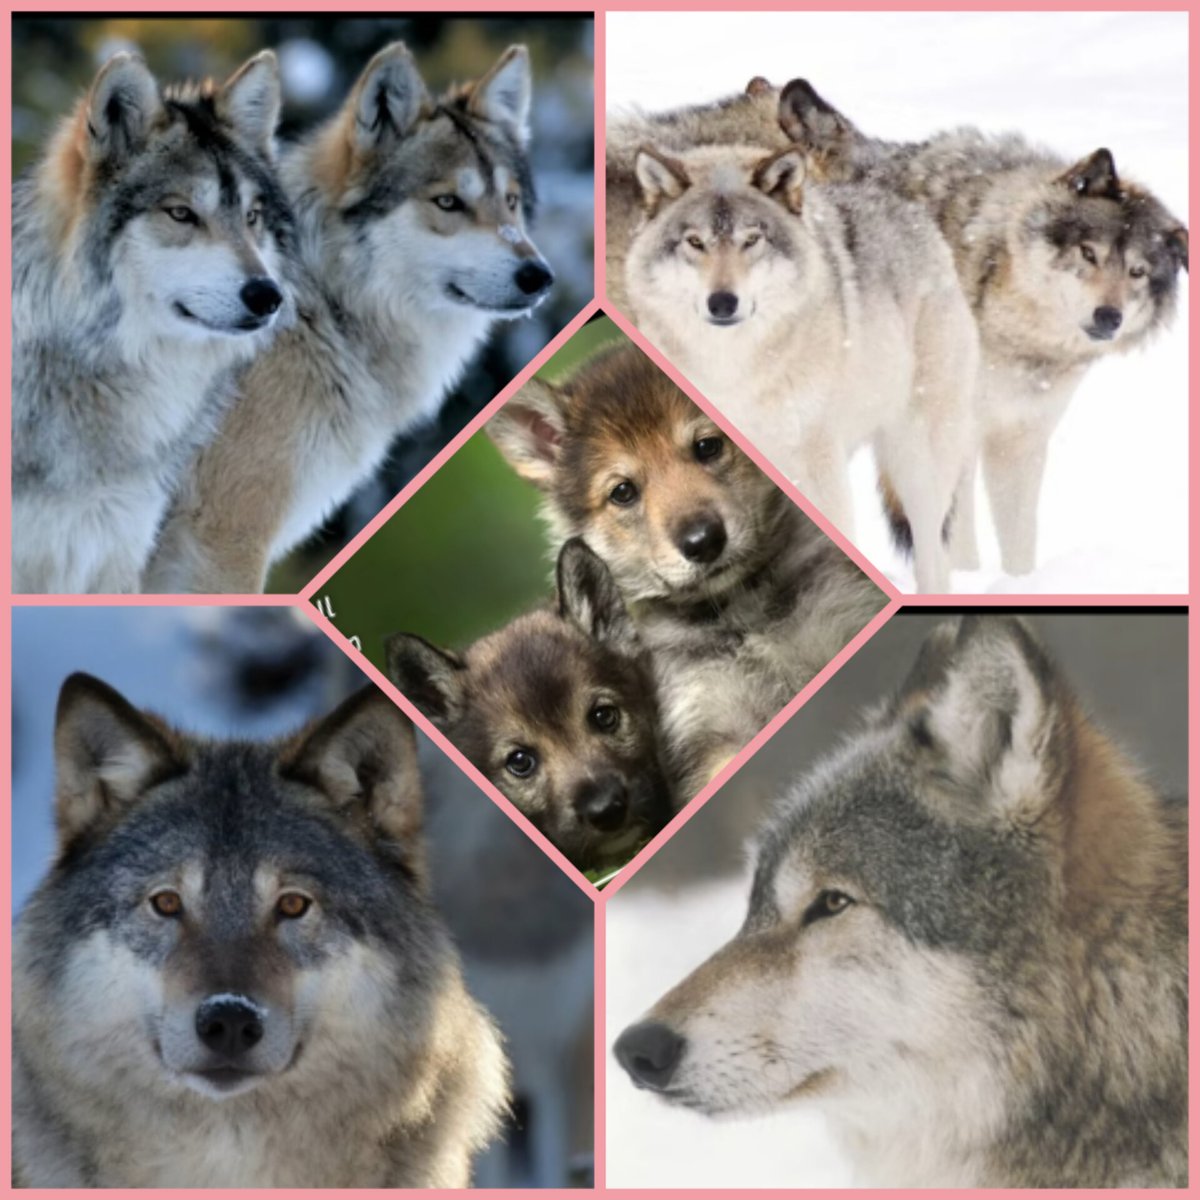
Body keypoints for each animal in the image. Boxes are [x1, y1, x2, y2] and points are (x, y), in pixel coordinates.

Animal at [625, 143, 979, 592]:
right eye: (695, 242)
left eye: (751, 240)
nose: (722, 302)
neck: (733, 369)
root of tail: (915, 216)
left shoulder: (815, 461)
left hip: (917, 457)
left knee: (933, 546)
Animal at [777, 80, 1189, 574]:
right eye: (1089, 253)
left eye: (1137, 273)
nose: (1108, 317)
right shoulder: (958, 428)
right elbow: (955, 535)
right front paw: (967, 576)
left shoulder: (1020, 440)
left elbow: (1019, 543)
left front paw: (1019, 584)